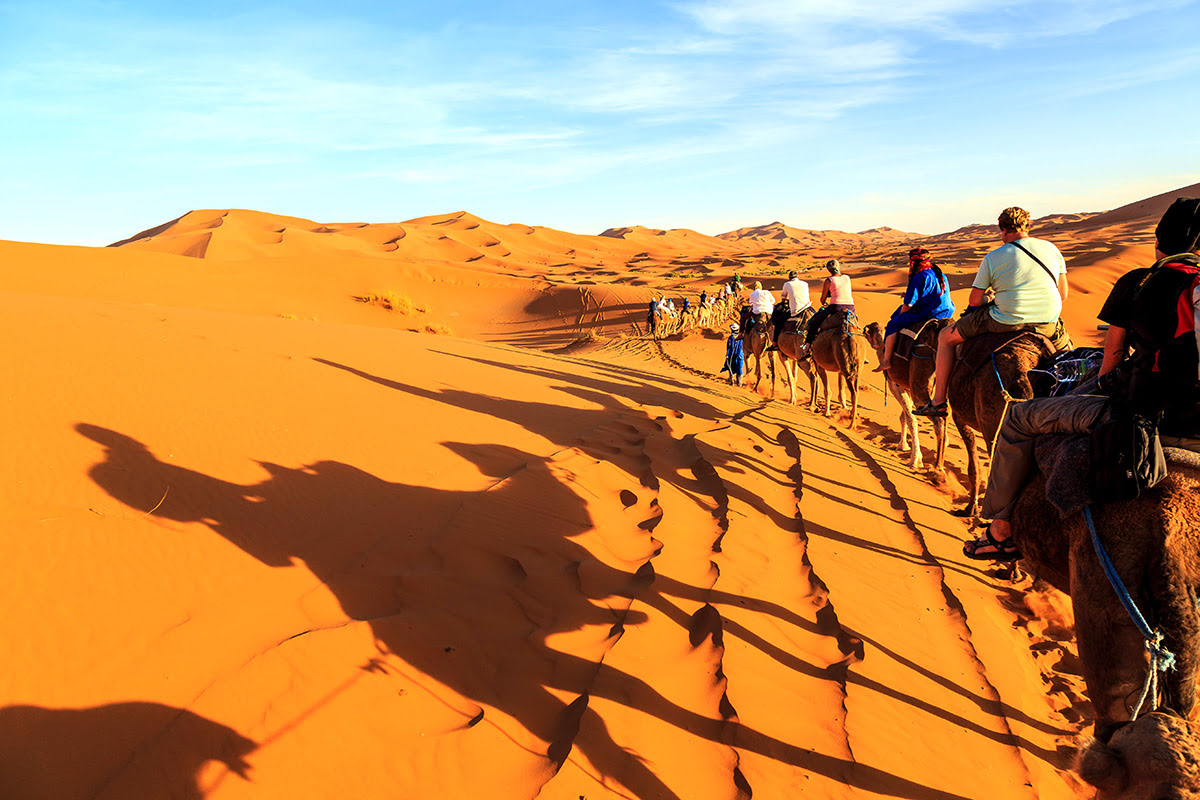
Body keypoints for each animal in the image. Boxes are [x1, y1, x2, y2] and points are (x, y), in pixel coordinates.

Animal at [864, 319, 945, 470]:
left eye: (870, 329)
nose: (863, 330)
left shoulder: (895, 386)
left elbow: (910, 418)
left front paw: (915, 459)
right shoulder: (906, 388)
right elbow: (904, 417)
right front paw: (903, 446)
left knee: (938, 420)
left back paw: (936, 465)